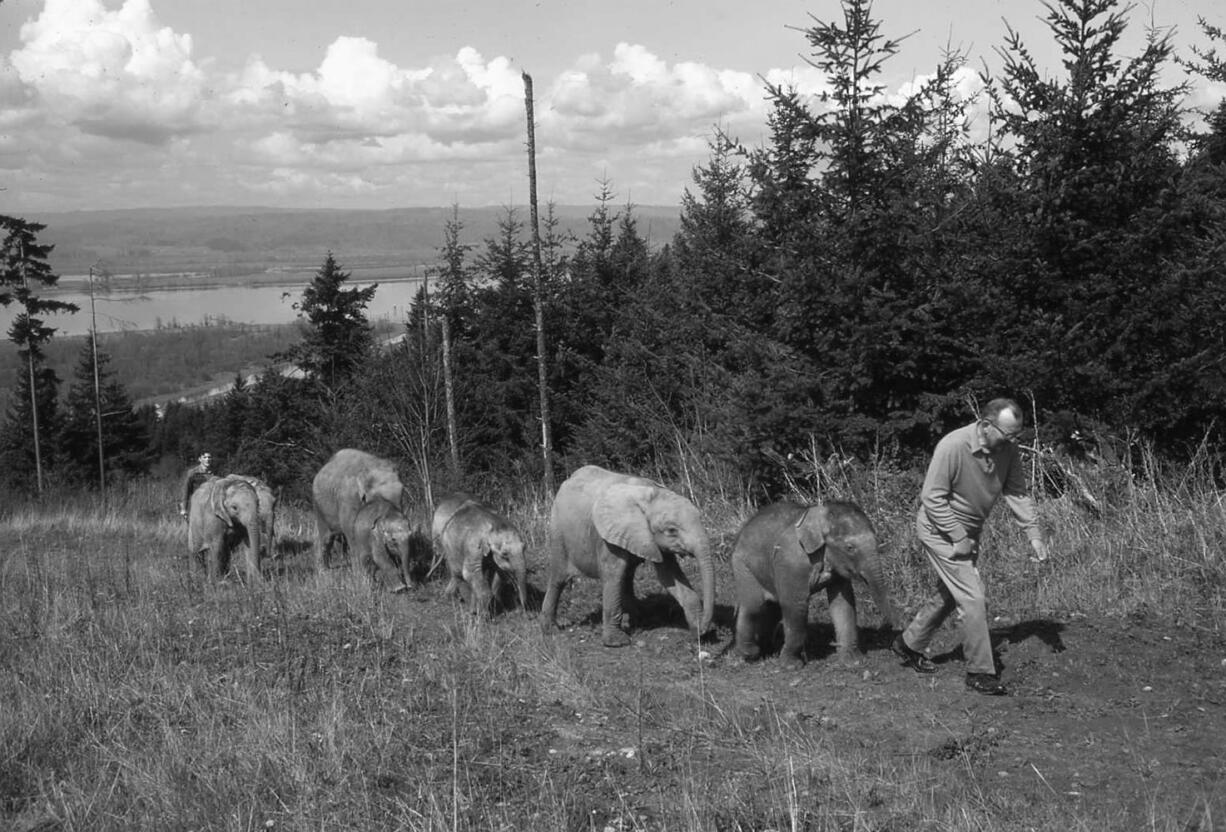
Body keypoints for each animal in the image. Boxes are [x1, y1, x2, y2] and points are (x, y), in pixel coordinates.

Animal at [313, 448, 404, 578]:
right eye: (380, 501)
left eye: (402, 495)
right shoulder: (348, 500)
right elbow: (353, 533)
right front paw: (361, 575)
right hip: (319, 506)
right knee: (326, 537)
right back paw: (325, 572)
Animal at [539, 465, 715, 646]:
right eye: (672, 530)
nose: (704, 629)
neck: (649, 494)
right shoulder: (608, 538)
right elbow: (613, 575)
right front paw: (617, 642)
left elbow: (669, 575)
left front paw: (700, 632)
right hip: (557, 530)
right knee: (559, 578)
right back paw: (550, 630)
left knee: (627, 576)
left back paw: (638, 619)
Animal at [725, 502, 902, 671]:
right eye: (850, 548)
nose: (897, 627)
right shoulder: (792, 561)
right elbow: (796, 606)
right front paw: (791, 666)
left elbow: (843, 603)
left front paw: (854, 662)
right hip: (743, 565)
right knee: (754, 605)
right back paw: (749, 653)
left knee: (773, 608)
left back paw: (767, 650)